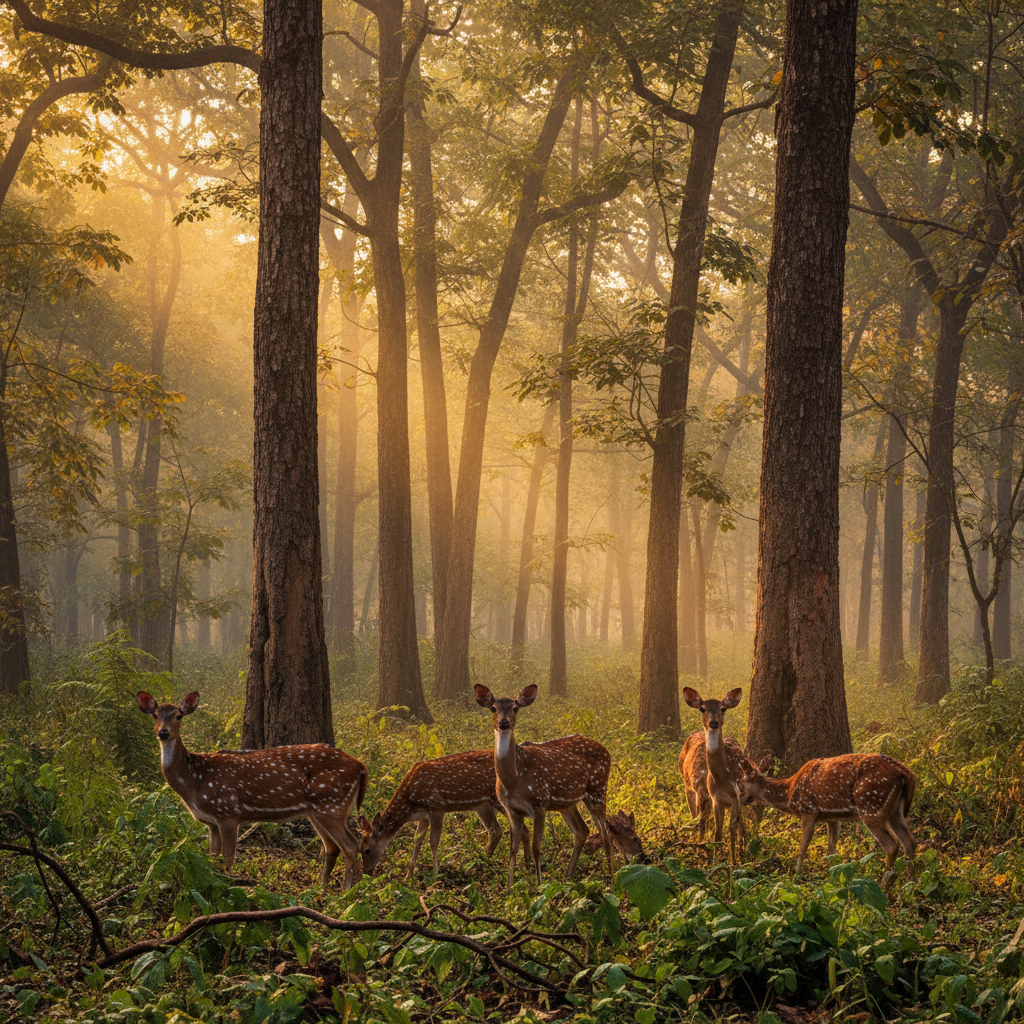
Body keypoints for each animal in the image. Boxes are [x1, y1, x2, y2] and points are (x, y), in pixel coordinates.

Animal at [137, 691, 366, 889]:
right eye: (155, 715)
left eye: (178, 716)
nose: (163, 732)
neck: (195, 780)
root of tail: (361, 766)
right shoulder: (212, 821)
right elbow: (212, 858)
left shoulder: (228, 812)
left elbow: (228, 859)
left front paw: (228, 887)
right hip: (317, 810)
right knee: (332, 846)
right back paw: (321, 887)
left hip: (332, 803)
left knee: (351, 845)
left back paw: (346, 890)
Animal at [358, 750, 504, 880]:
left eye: (366, 850)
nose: (366, 873)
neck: (410, 804)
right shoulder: (423, 816)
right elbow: (417, 841)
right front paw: (408, 877)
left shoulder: (437, 806)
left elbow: (433, 842)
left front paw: (435, 875)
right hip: (482, 806)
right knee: (495, 830)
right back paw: (481, 861)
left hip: (497, 798)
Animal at [474, 683, 614, 886]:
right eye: (493, 708)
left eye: (515, 708)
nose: (504, 723)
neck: (513, 780)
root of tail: (606, 750)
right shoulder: (512, 810)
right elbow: (513, 848)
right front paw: (509, 886)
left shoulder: (540, 803)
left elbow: (536, 848)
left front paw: (539, 885)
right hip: (567, 803)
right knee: (582, 831)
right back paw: (567, 877)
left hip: (598, 788)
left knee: (605, 833)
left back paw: (611, 878)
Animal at [680, 687, 750, 868]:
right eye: (702, 708)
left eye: (723, 708)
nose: (714, 723)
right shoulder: (713, 798)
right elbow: (716, 834)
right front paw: (713, 860)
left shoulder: (736, 799)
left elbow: (731, 829)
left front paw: (733, 863)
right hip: (688, 788)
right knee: (696, 817)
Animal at [737, 752, 918, 878]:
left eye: (739, 783)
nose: (739, 800)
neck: (789, 795)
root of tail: (906, 775)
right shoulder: (832, 817)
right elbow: (831, 850)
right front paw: (830, 875)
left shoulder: (808, 811)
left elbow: (803, 848)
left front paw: (795, 875)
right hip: (894, 812)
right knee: (910, 842)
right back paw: (911, 881)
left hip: (871, 805)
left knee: (892, 846)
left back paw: (885, 883)